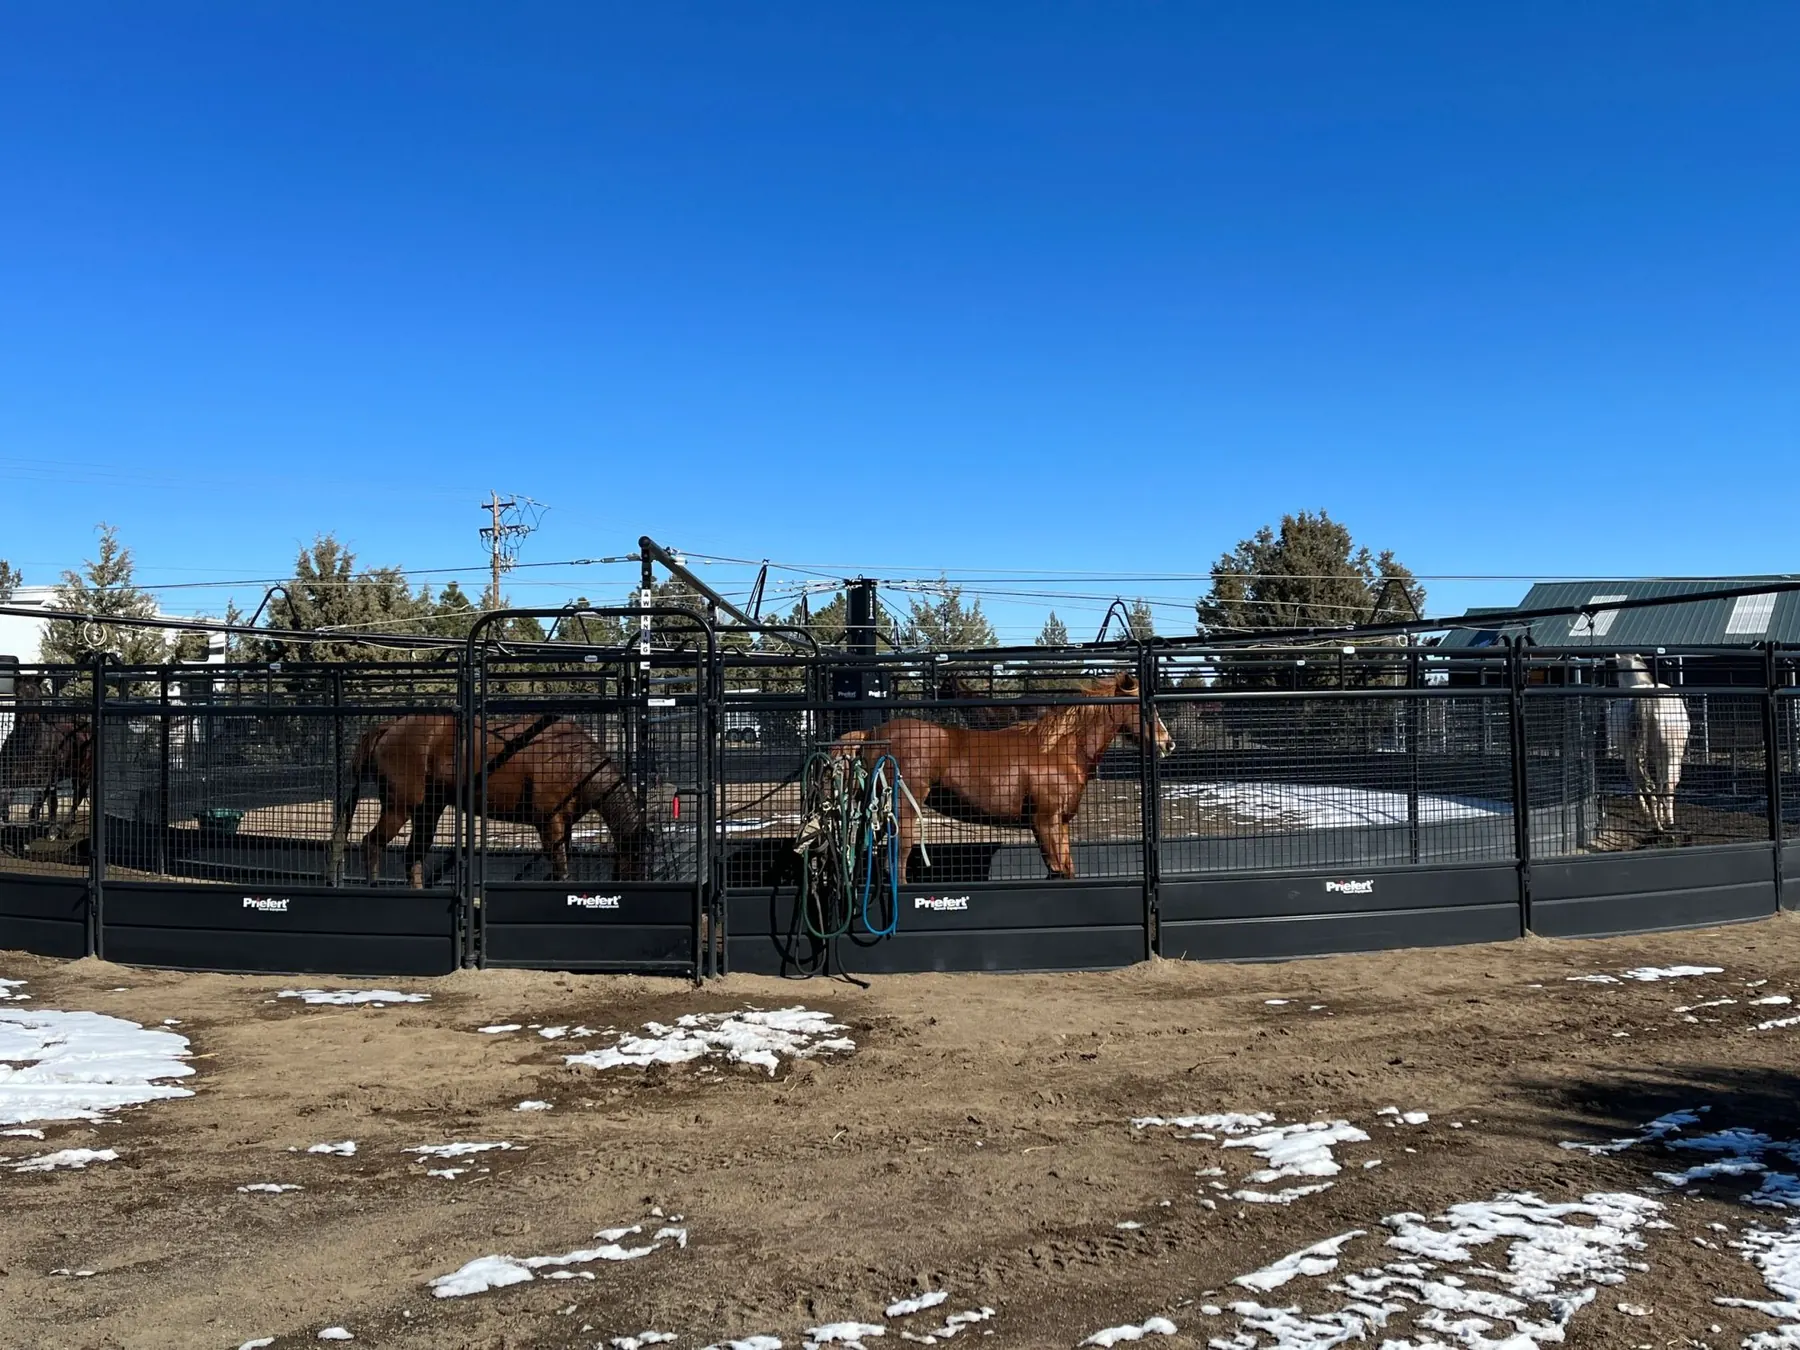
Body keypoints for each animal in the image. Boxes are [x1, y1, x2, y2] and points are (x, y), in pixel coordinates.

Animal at [329, 713, 652, 888]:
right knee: (372, 843)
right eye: (635, 862)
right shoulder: (549, 823)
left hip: (428, 809)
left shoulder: (565, 826)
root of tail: (390, 726)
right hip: (400, 807)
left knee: (413, 856)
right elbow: (561, 869)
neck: (572, 759)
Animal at [858, 670, 1173, 879]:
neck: (1059, 750)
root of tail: (871, 735)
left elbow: (1066, 869)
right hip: (904, 814)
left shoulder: (1060, 824)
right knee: (896, 861)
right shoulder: (1043, 822)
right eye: (1147, 708)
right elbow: (1057, 870)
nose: (1167, 743)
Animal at [1608, 655, 1690, 834]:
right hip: (1670, 754)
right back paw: (1664, 821)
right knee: (1667, 783)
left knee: (1644, 781)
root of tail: (1646, 700)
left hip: (1636, 755)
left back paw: (1656, 820)